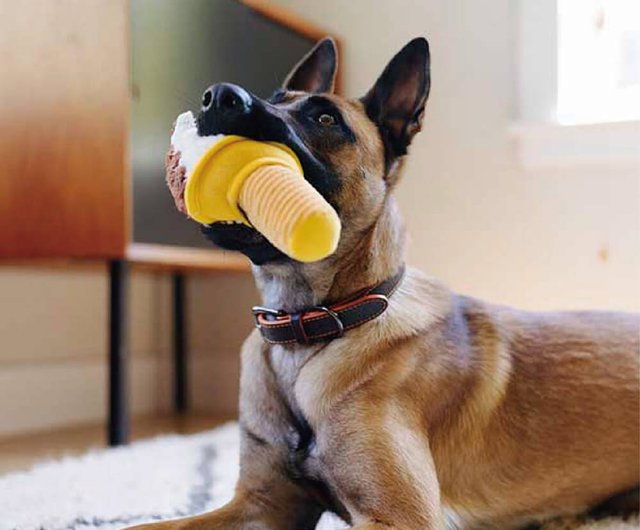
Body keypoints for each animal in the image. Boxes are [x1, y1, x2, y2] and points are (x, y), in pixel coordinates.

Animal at [135, 37, 636, 528]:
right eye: (276, 97)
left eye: (325, 119)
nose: (217, 95)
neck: (313, 324)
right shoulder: (260, 504)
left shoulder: (398, 516)